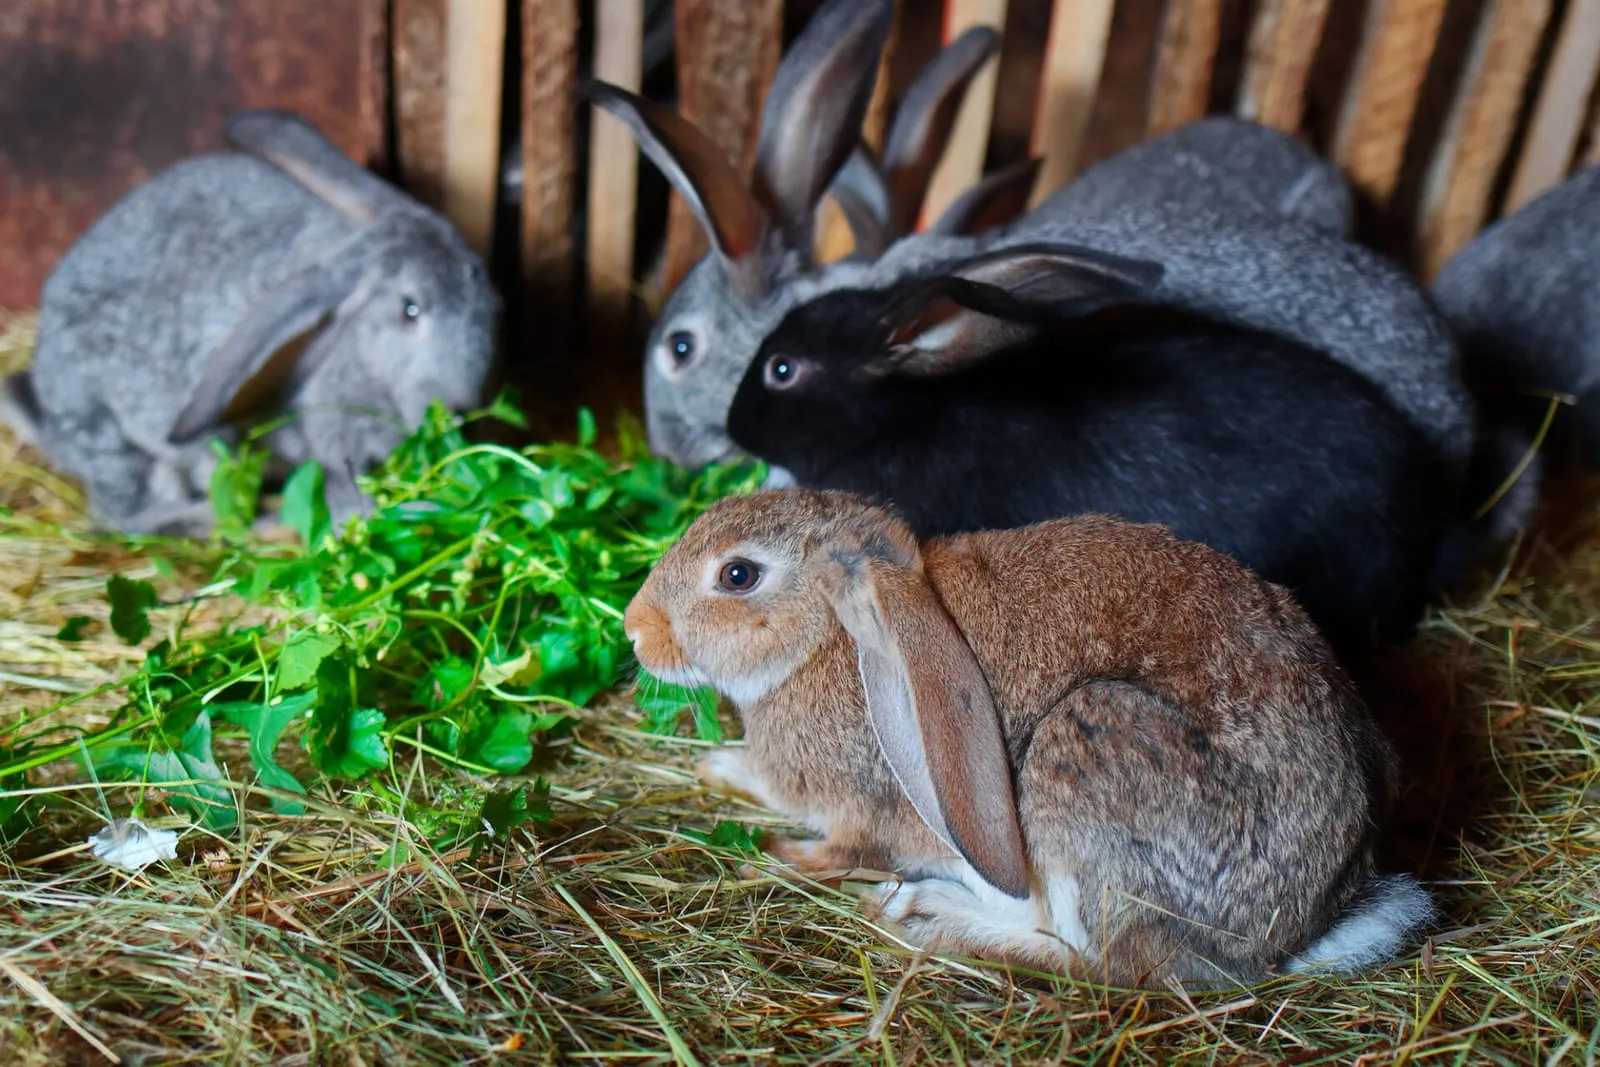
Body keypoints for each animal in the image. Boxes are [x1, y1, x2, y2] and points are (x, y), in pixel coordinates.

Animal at [1, 110, 500, 536]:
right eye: (409, 310)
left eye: (487, 295)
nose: (462, 408)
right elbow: (343, 484)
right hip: (116, 443)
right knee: (124, 515)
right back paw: (229, 521)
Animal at [624, 489, 1433, 986]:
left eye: (738, 575)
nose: (634, 629)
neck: (830, 634)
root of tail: (1295, 927)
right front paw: (717, 763)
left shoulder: (863, 808)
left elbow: (837, 849)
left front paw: (768, 853)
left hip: (1083, 758)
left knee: (1105, 959)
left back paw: (931, 917)